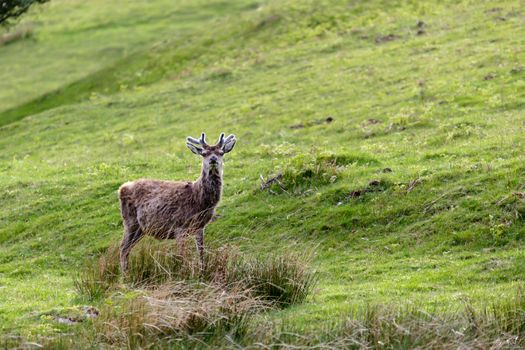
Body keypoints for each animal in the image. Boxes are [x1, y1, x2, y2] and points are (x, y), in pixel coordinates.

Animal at [117, 133, 236, 272]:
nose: (213, 159)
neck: (199, 201)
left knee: (127, 248)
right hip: (130, 222)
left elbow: (201, 252)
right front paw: (184, 273)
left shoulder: (200, 226)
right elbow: (182, 255)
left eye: (221, 152)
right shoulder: (179, 226)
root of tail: (121, 188)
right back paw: (125, 274)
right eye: (204, 153)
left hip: (140, 228)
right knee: (123, 247)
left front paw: (202, 271)